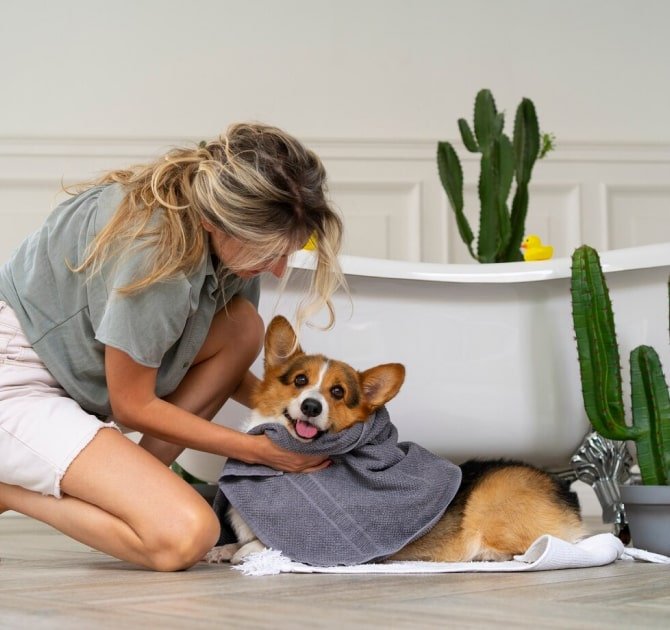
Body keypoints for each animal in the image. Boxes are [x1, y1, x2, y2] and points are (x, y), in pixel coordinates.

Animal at [206, 316, 585, 565]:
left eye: (338, 392)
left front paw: (244, 552)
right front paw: (220, 549)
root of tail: (565, 492)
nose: (312, 406)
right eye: (300, 380)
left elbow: (262, 545)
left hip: (490, 508)